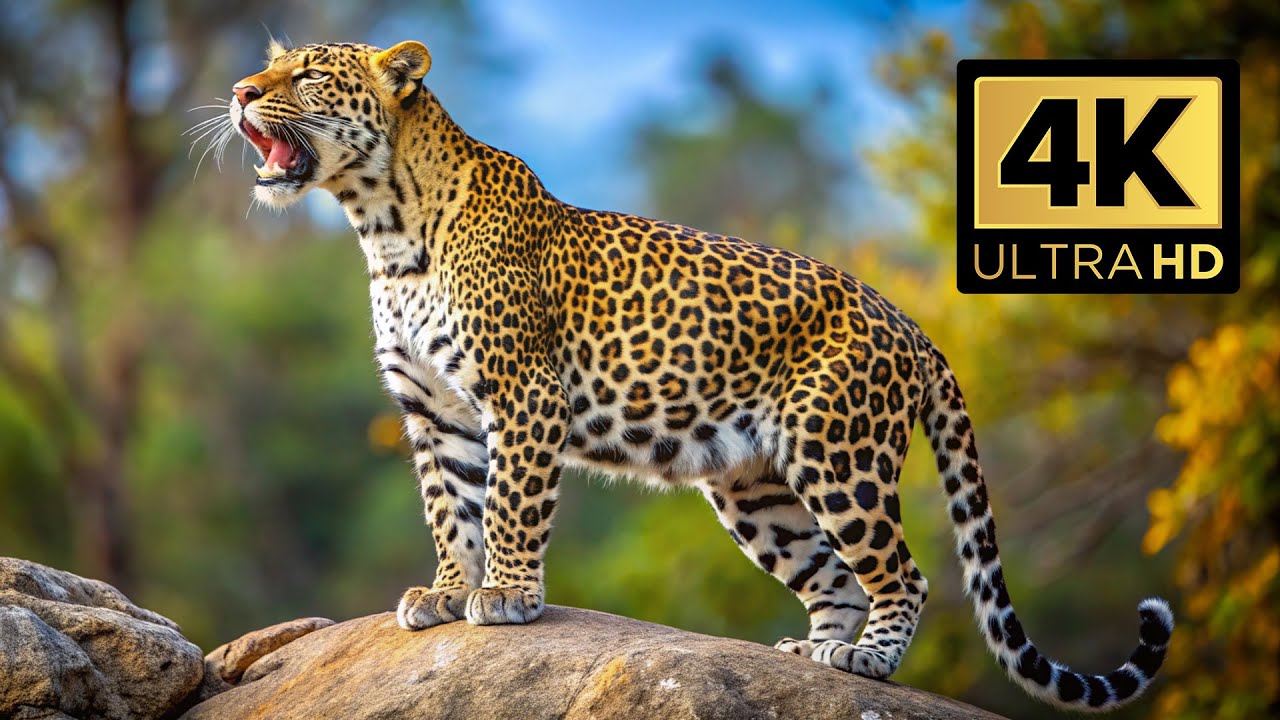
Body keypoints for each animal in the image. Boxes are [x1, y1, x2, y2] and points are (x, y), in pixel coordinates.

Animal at [223, 39, 1174, 711]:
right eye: (273, 63)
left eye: (307, 73)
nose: (239, 92)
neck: (384, 229)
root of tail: (912, 325)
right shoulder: (435, 412)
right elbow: (449, 510)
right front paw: (447, 594)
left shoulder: (524, 395)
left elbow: (510, 507)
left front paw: (509, 597)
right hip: (755, 491)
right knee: (834, 577)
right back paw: (819, 657)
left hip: (841, 458)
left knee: (901, 572)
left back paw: (868, 659)